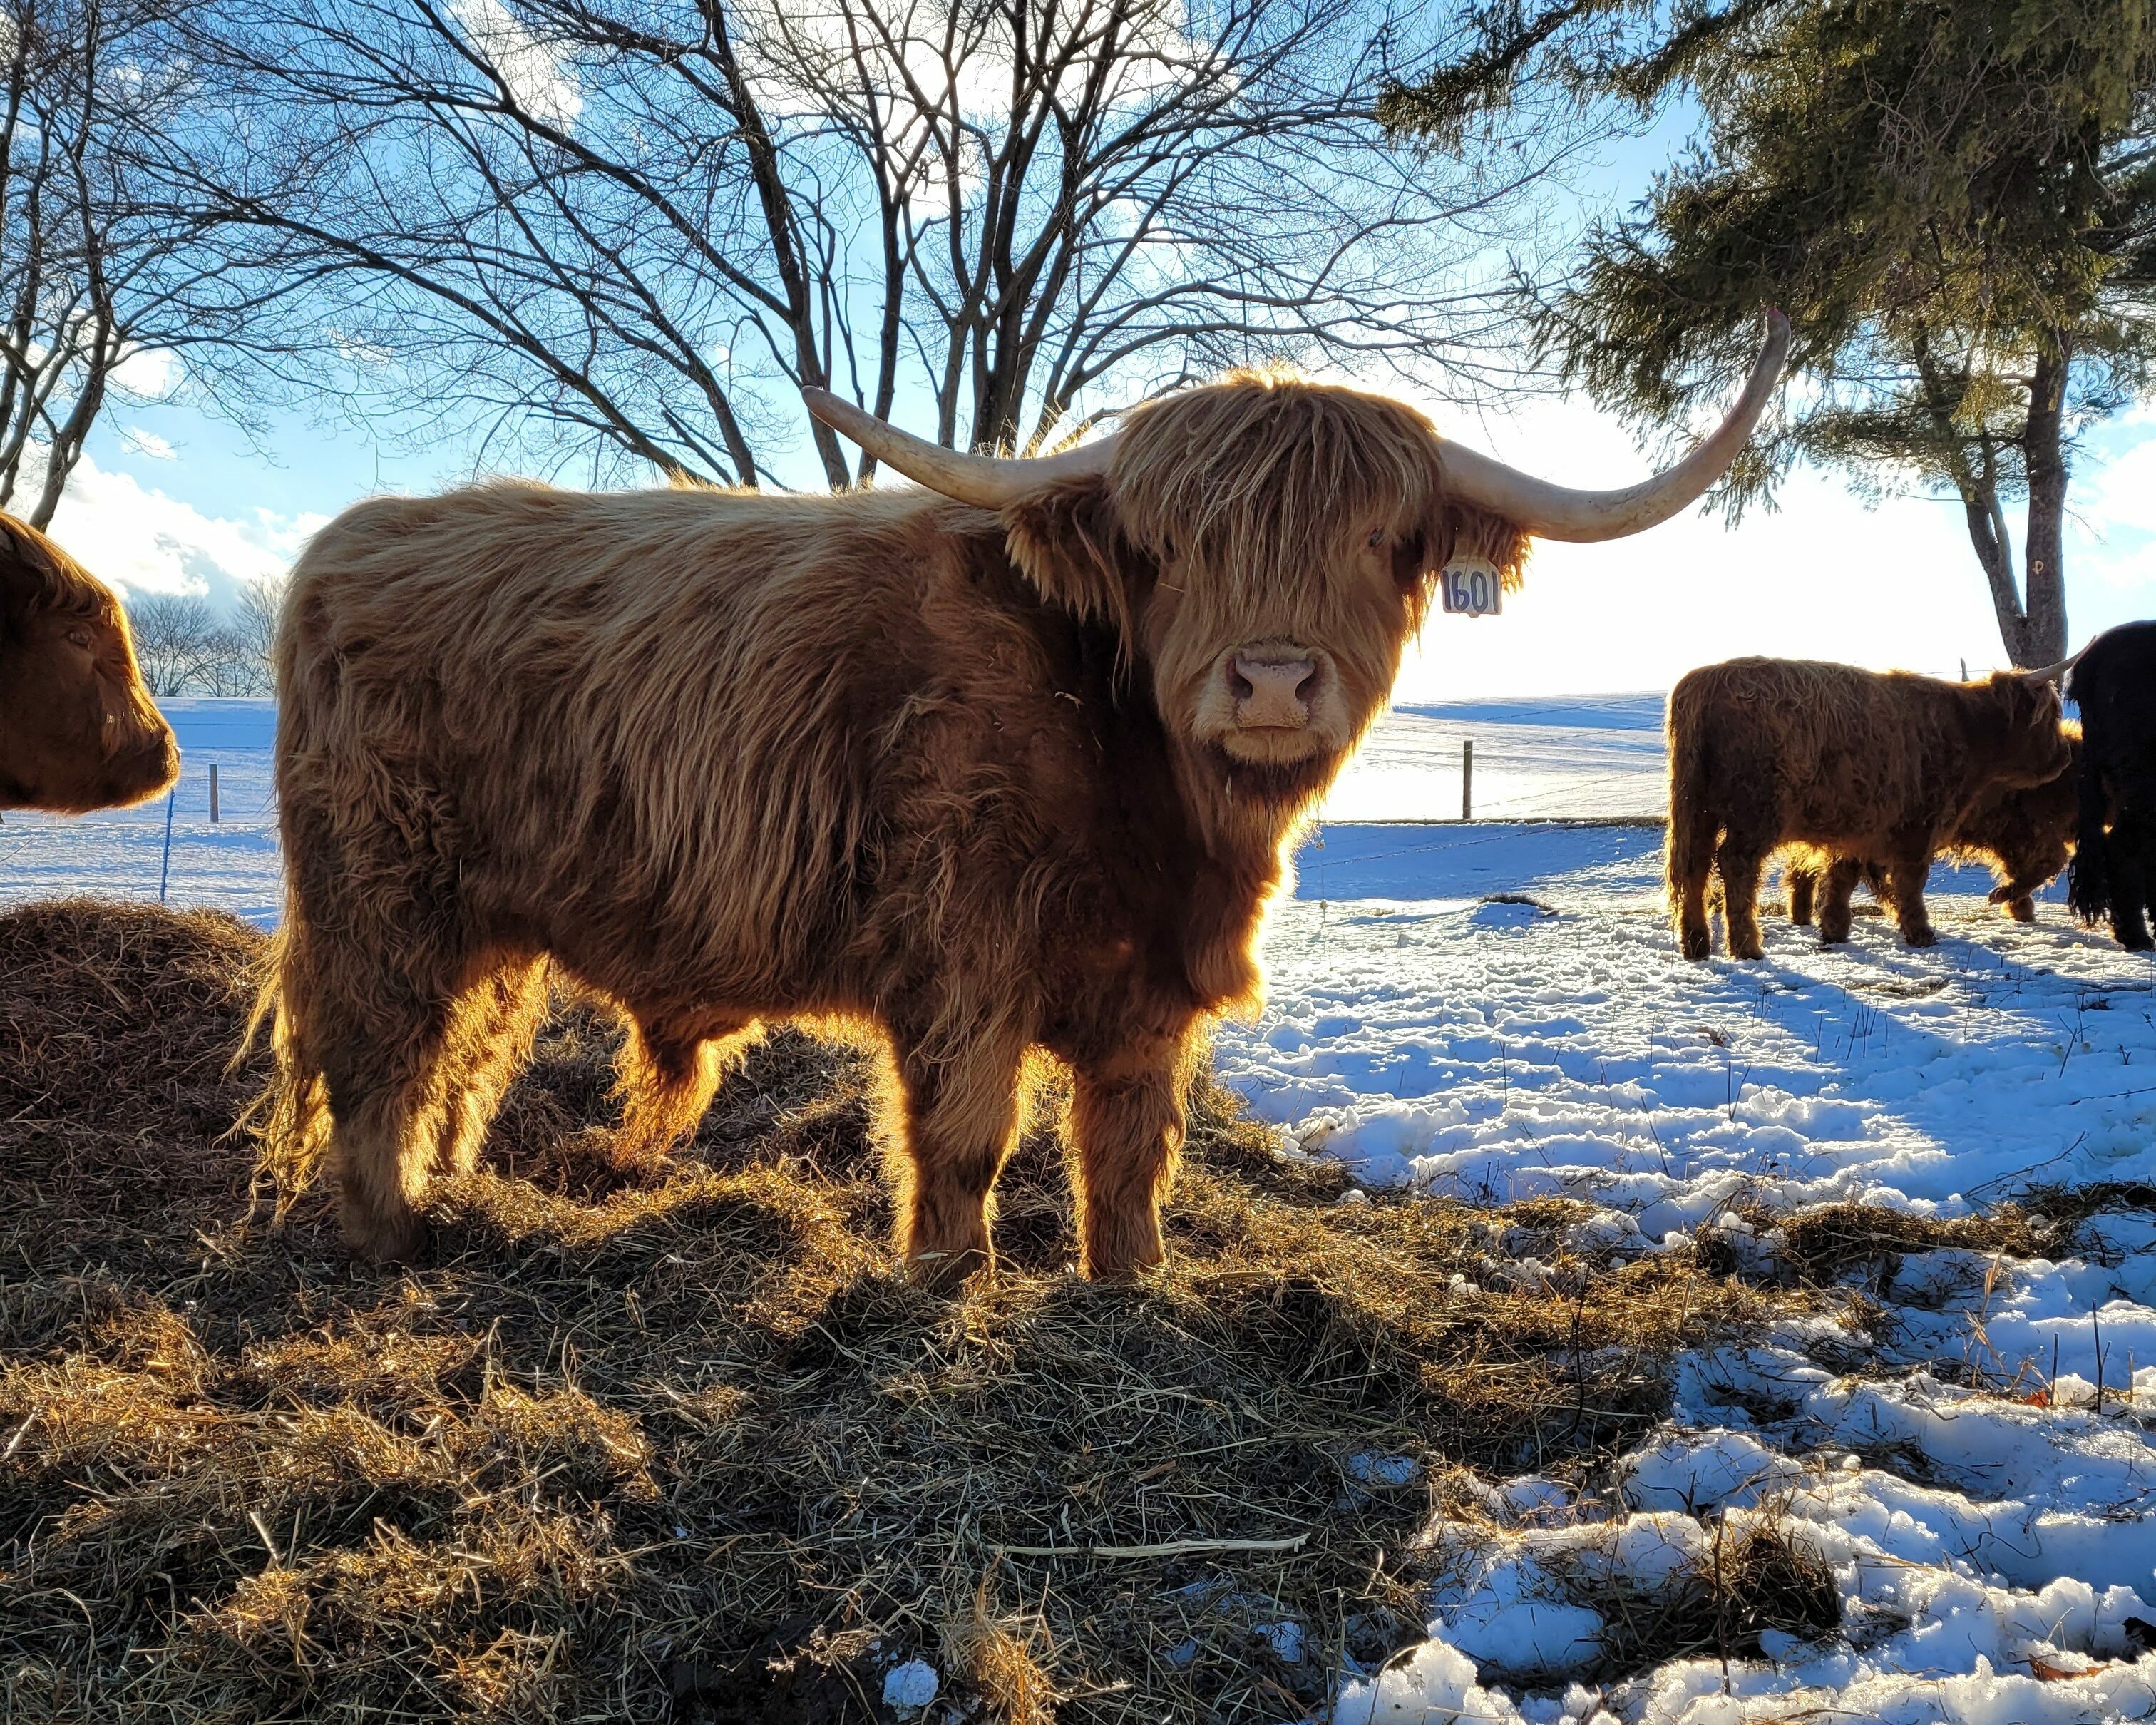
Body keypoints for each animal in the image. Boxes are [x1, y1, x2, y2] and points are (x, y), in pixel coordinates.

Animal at [265, 323, 1785, 1276]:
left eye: (1378, 540)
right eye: (1173, 547)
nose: (1272, 679)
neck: (1154, 802)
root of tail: (346, 543)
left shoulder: (1151, 992)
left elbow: (1126, 1157)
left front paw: (1127, 1286)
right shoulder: (964, 957)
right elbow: (965, 1143)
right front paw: (949, 1282)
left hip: (492, 926)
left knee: (460, 1062)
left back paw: (455, 1200)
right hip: (381, 898)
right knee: (376, 1064)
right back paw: (392, 1241)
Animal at [1776, 724, 2078, 936]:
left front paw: (2017, 907)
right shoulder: (2023, 833)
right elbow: (2047, 863)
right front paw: (2008, 900)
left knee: (1804, 869)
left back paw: (1802, 915)